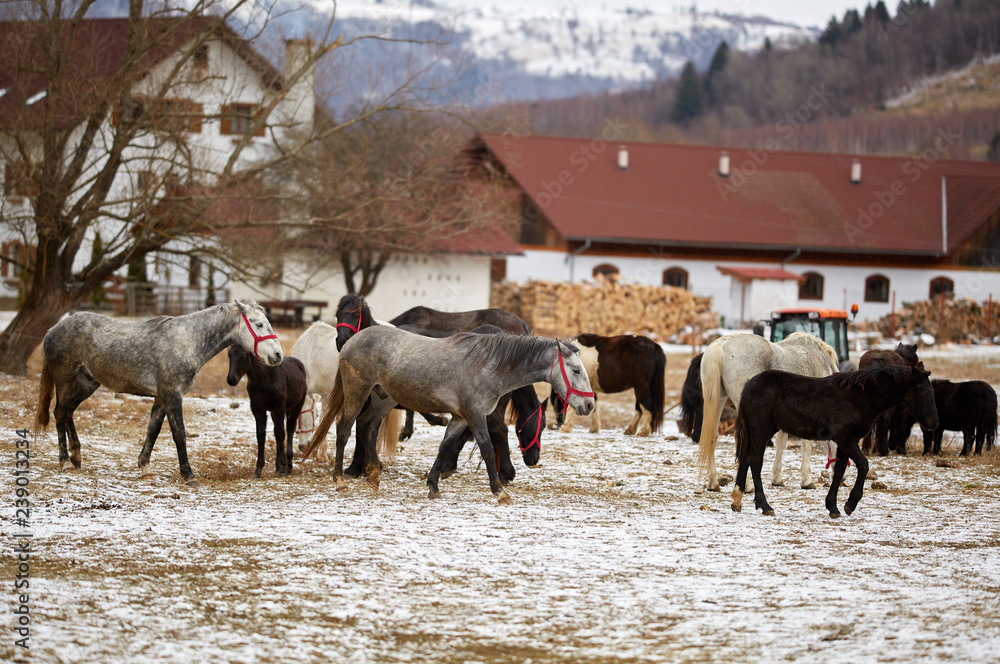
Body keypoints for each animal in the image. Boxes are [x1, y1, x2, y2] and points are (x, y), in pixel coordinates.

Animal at [34, 301, 283, 486]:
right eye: (259, 324)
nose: (278, 355)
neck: (188, 341)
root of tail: (52, 330)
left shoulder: (162, 398)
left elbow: (152, 430)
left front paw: (146, 468)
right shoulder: (173, 395)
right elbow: (179, 434)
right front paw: (188, 475)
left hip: (86, 384)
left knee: (67, 412)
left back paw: (76, 457)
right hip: (66, 381)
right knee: (60, 414)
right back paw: (65, 462)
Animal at [226, 346, 307, 478]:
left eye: (243, 356)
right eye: (229, 355)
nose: (231, 379)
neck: (263, 380)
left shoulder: (279, 406)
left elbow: (280, 433)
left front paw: (283, 468)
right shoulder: (257, 408)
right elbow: (261, 435)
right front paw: (258, 469)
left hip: (296, 406)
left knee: (290, 428)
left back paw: (289, 464)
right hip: (275, 412)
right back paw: (277, 466)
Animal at [301, 327, 595, 503]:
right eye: (576, 370)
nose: (590, 405)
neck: (490, 366)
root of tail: (351, 341)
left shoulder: (460, 418)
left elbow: (444, 448)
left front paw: (432, 484)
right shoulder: (475, 416)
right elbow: (488, 450)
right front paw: (499, 491)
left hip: (384, 399)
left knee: (366, 426)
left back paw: (373, 476)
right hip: (357, 392)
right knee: (344, 429)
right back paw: (340, 481)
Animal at [697, 332, 841, 492]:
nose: (842, 478)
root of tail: (720, 345)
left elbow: (781, 442)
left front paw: (777, 478)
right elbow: (806, 444)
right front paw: (807, 481)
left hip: (718, 400)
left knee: (712, 436)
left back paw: (713, 482)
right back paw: (746, 486)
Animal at [731, 364, 938, 517]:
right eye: (924, 391)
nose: (933, 424)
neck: (860, 397)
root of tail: (749, 385)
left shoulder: (846, 442)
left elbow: (839, 470)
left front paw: (833, 507)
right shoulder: (846, 439)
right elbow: (863, 465)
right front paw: (850, 504)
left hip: (764, 429)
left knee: (745, 459)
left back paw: (737, 501)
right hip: (761, 429)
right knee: (755, 461)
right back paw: (765, 505)